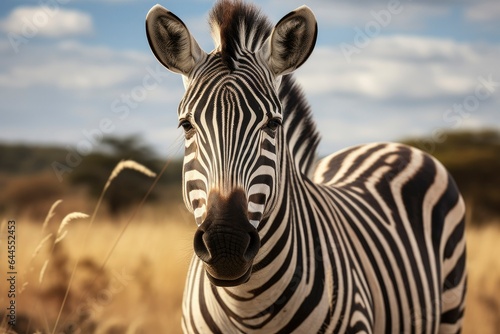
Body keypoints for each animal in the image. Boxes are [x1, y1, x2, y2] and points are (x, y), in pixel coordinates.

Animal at [146, 1, 466, 332]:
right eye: (186, 126)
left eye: (273, 124)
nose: (226, 245)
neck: (249, 304)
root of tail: (389, 145)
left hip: (452, 307)